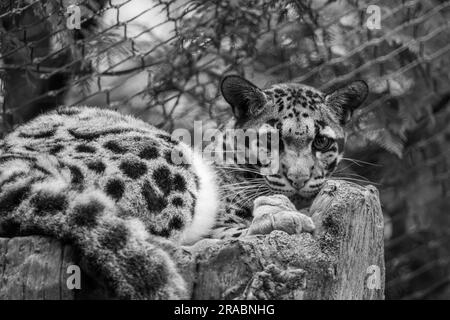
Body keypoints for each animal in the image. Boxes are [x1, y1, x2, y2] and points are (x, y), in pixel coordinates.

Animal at [0, 74, 368, 298]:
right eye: (270, 141)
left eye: (321, 141)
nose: (299, 178)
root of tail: (11, 164)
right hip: (160, 162)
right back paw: (277, 217)